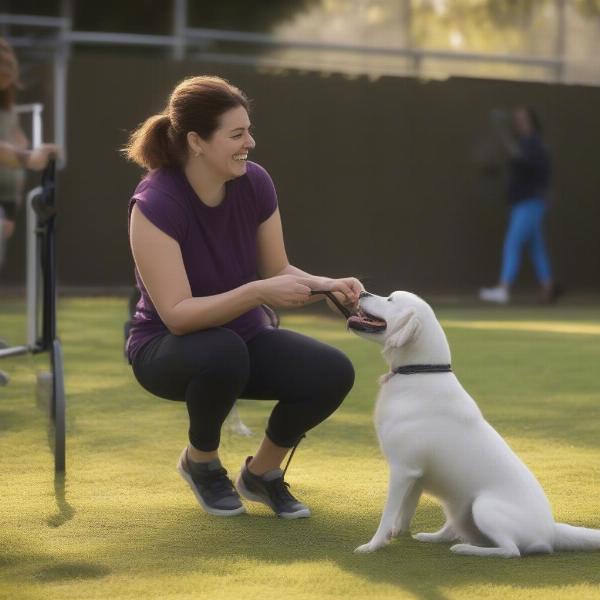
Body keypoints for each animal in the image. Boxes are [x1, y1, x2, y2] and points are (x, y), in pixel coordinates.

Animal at [346, 290, 600, 556]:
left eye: (390, 300)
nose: (362, 292)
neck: (419, 372)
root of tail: (551, 529)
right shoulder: (414, 475)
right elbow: (404, 512)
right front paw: (396, 534)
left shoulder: (402, 470)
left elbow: (387, 514)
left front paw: (373, 545)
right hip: (458, 509)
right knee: (456, 531)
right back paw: (435, 538)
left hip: (484, 507)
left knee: (511, 550)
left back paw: (466, 550)